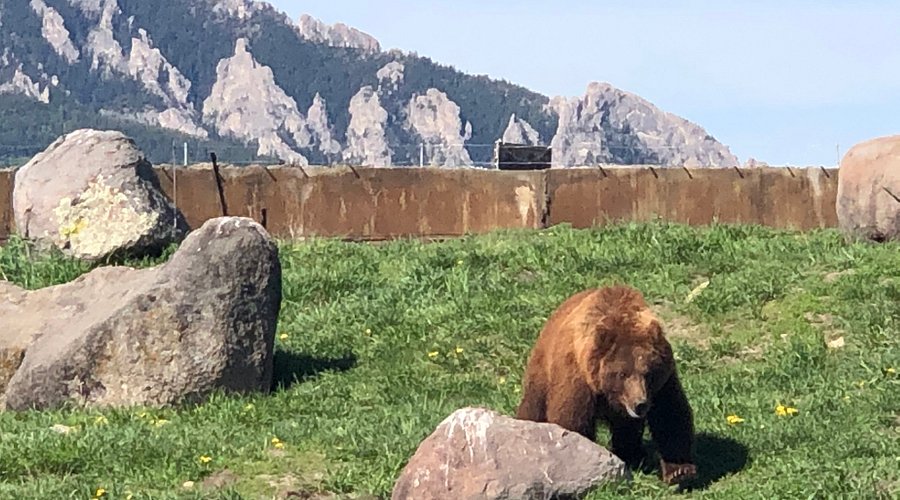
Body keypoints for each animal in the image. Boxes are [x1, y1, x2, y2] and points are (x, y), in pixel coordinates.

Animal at [515, 284, 697, 485]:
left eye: (648, 373)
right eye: (622, 373)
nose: (640, 404)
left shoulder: (662, 384)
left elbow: (670, 415)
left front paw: (680, 471)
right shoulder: (578, 379)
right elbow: (572, 421)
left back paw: (633, 455)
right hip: (542, 371)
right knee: (533, 404)